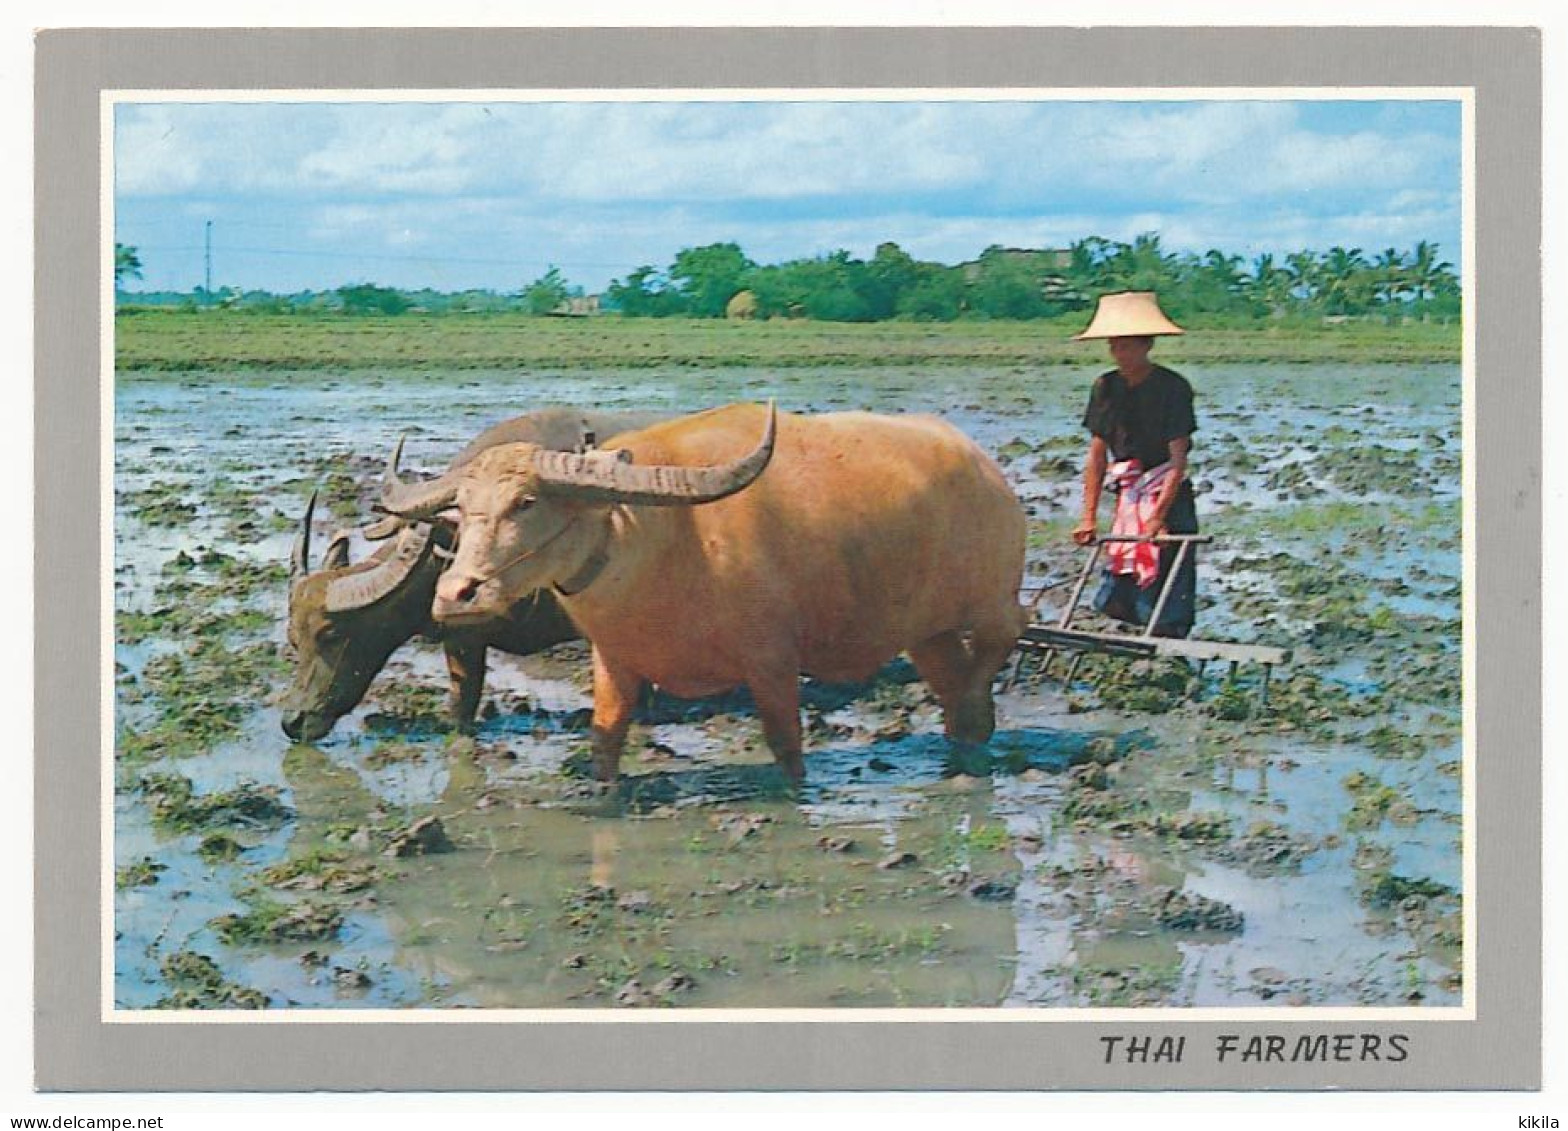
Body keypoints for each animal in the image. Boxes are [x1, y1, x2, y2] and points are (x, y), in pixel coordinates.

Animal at [379, 401, 1028, 781]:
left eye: (526, 502)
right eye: (461, 508)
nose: (455, 595)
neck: (668, 543)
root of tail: (986, 469)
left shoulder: (772, 664)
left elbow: (786, 749)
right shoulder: (616, 664)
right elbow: (604, 743)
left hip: (993, 602)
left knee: (1002, 643)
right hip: (928, 631)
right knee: (956, 693)